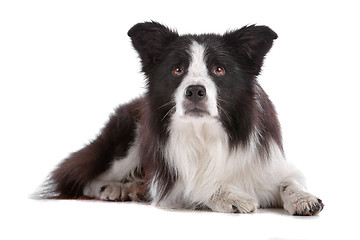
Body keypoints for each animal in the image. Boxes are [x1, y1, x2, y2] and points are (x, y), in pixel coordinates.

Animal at [43, 21, 324, 215]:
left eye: (219, 70)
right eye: (177, 70)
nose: (195, 90)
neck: (204, 131)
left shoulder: (271, 164)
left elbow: (289, 182)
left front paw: (303, 198)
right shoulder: (172, 183)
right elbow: (198, 184)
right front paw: (232, 197)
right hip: (130, 139)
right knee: (80, 177)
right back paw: (113, 188)